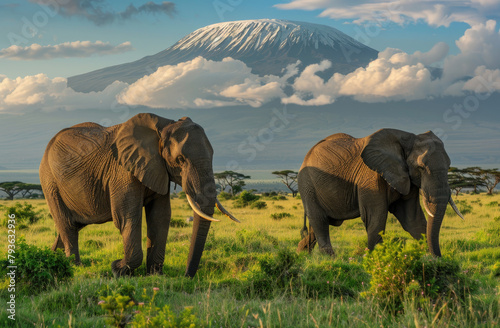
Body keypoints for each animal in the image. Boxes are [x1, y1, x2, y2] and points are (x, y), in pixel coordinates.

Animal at [296, 128, 464, 256]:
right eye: (421, 168)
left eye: (449, 166)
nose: (439, 258)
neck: (408, 138)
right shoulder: (370, 177)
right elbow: (375, 217)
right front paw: (371, 259)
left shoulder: (406, 178)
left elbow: (412, 220)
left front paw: (428, 259)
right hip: (307, 184)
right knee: (319, 220)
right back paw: (330, 259)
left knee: (319, 225)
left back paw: (302, 253)